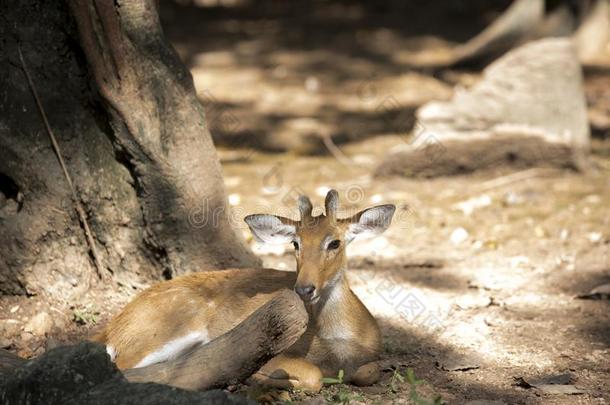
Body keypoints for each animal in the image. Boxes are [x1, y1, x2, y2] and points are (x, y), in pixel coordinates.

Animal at [90, 189, 394, 392]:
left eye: (335, 243)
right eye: (295, 243)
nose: (304, 288)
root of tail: (115, 326)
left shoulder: (372, 357)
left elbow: (369, 372)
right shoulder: (278, 348)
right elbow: (313, 376)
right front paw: (260, 379)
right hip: (162, 328)